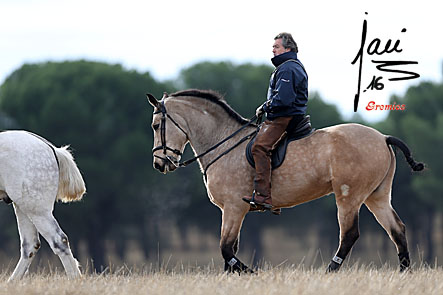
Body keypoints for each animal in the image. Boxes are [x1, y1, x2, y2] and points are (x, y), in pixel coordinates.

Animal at [147, 89, 424, 274]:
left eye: (156, 125)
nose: (159, 164)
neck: (224, 143)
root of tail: (383, 137)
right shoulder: (232, 211)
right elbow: (230, 250)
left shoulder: (234, 208)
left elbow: (226, 249)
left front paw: (251, 273)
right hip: (376, 196)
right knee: (397, 230)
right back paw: (404, 272)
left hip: (349, 197)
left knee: (349, 235)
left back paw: (329, 272)